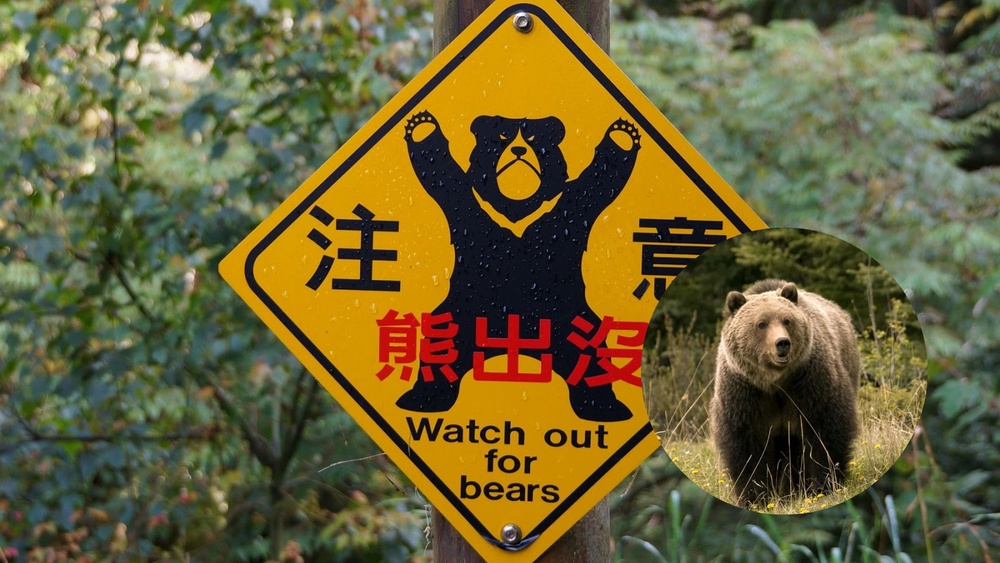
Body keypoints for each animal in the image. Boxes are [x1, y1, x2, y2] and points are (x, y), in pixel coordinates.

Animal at [395, 111, 642, 422]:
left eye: (534, 137)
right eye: (502, 136)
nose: (519, 150)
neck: (517, 210)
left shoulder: (569, 211)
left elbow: (596, 185)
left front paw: (622, 134)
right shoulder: (468, 211)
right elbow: (445, 180)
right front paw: (422, 128)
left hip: (573, 327)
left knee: (591, 359)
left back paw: (604, 406)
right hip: (461, 322)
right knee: (439, 350)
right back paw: (423, 397)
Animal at [709, 279, 861, 507]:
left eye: (787, 320)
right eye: (761, 323)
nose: (782, 343)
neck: (775, 382)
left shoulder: (808, 382)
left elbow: (824, 431)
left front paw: (822, 486)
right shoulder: (745, 392)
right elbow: (746, 445)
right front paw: (755, 496)